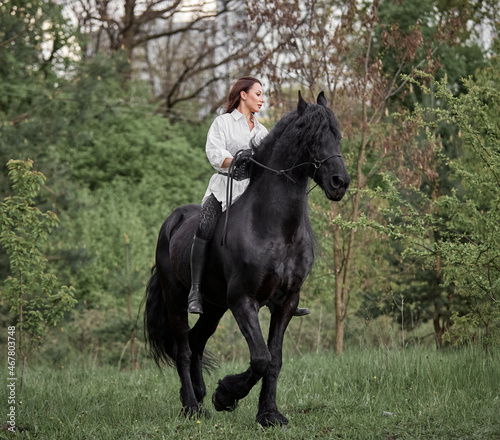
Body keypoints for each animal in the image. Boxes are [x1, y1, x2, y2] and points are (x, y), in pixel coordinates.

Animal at [143, 92, 350, 426]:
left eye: (337, 135)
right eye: (312, 137)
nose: (339, 182)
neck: (275, 228)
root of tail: (171, 222)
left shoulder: (286, 302)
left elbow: (274, 359)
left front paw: (269, 414)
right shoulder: (243, 301)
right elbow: (261, 358)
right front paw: (225, 394)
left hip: (214, 307)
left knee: (196, 341)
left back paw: (200, 394)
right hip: (176, 298)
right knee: (183, 348)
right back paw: (192, 406)